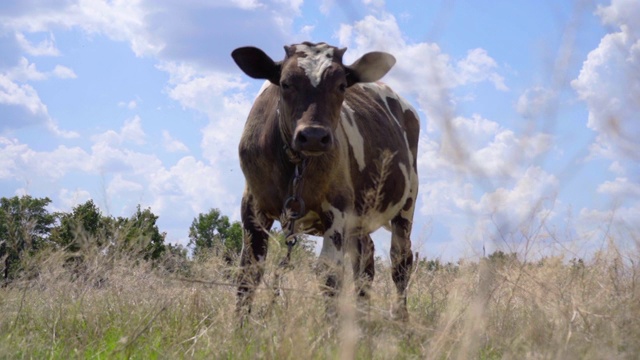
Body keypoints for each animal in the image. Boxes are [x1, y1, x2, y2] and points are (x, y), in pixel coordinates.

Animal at [230, 41, 420, 320]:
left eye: (341, 85)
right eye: (285, 83)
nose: (313, 136)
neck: (296, 166)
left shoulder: (337, 210)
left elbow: (329, 275)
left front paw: (330, 329)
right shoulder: (252, 206)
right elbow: (249, 271)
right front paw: (239, 326)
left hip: (406, 204)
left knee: (400, 263)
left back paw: (400, 320)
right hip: (361, 216)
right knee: (365, 263)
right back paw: (362, 320)